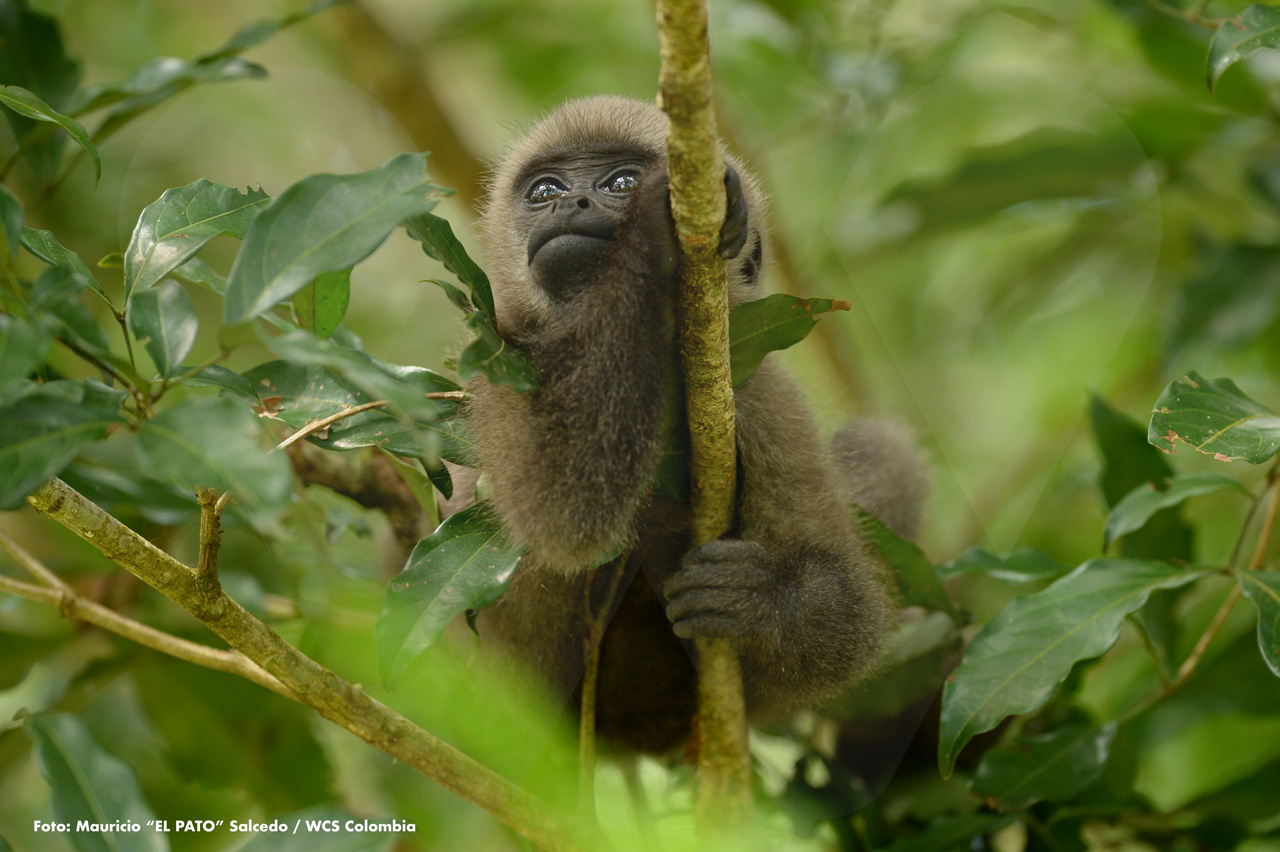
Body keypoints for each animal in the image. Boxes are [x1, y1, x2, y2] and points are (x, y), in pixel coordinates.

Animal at [448, 95, 927, 755]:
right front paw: (654, 227)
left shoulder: (761, 394)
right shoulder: (498, 350)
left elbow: (850, 614)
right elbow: (561, 514)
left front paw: (756, 600)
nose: (573, 203)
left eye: (619, 182)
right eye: (544, 191)